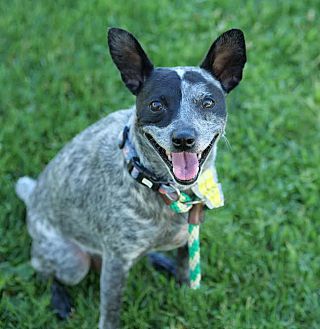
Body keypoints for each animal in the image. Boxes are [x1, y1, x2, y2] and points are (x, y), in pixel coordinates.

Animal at [15, 28, 246, 328]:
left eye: (208, 102)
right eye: (156, 105)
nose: (184, 138)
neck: (165, 190)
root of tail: (31, 197)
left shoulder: (189, 232)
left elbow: (186, 271)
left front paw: (186, 294)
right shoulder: (116, 260)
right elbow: (110, 312)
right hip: (72, 263)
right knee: (45, 271)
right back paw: (60, 301)